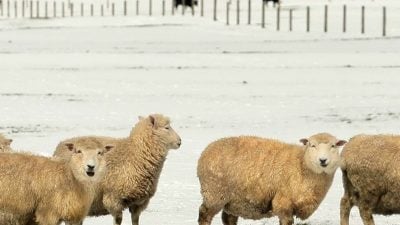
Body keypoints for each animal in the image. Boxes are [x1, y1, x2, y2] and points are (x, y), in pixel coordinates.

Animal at [53, 114, 183, 225]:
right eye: (167, 128)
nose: (180, 141)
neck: (135, 154)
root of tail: (60, 146)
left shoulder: (138, 203)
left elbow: (135, 221)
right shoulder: (113, 199)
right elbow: (118, 220)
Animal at [197, 133, 346, 224]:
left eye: (333, 146)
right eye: (312, 145)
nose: (323, 160)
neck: (302, 164)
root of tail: (206, 151)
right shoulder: (283, 202)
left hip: (233, 200)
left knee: (228, 218)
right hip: (214, 193)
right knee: (204, 214)